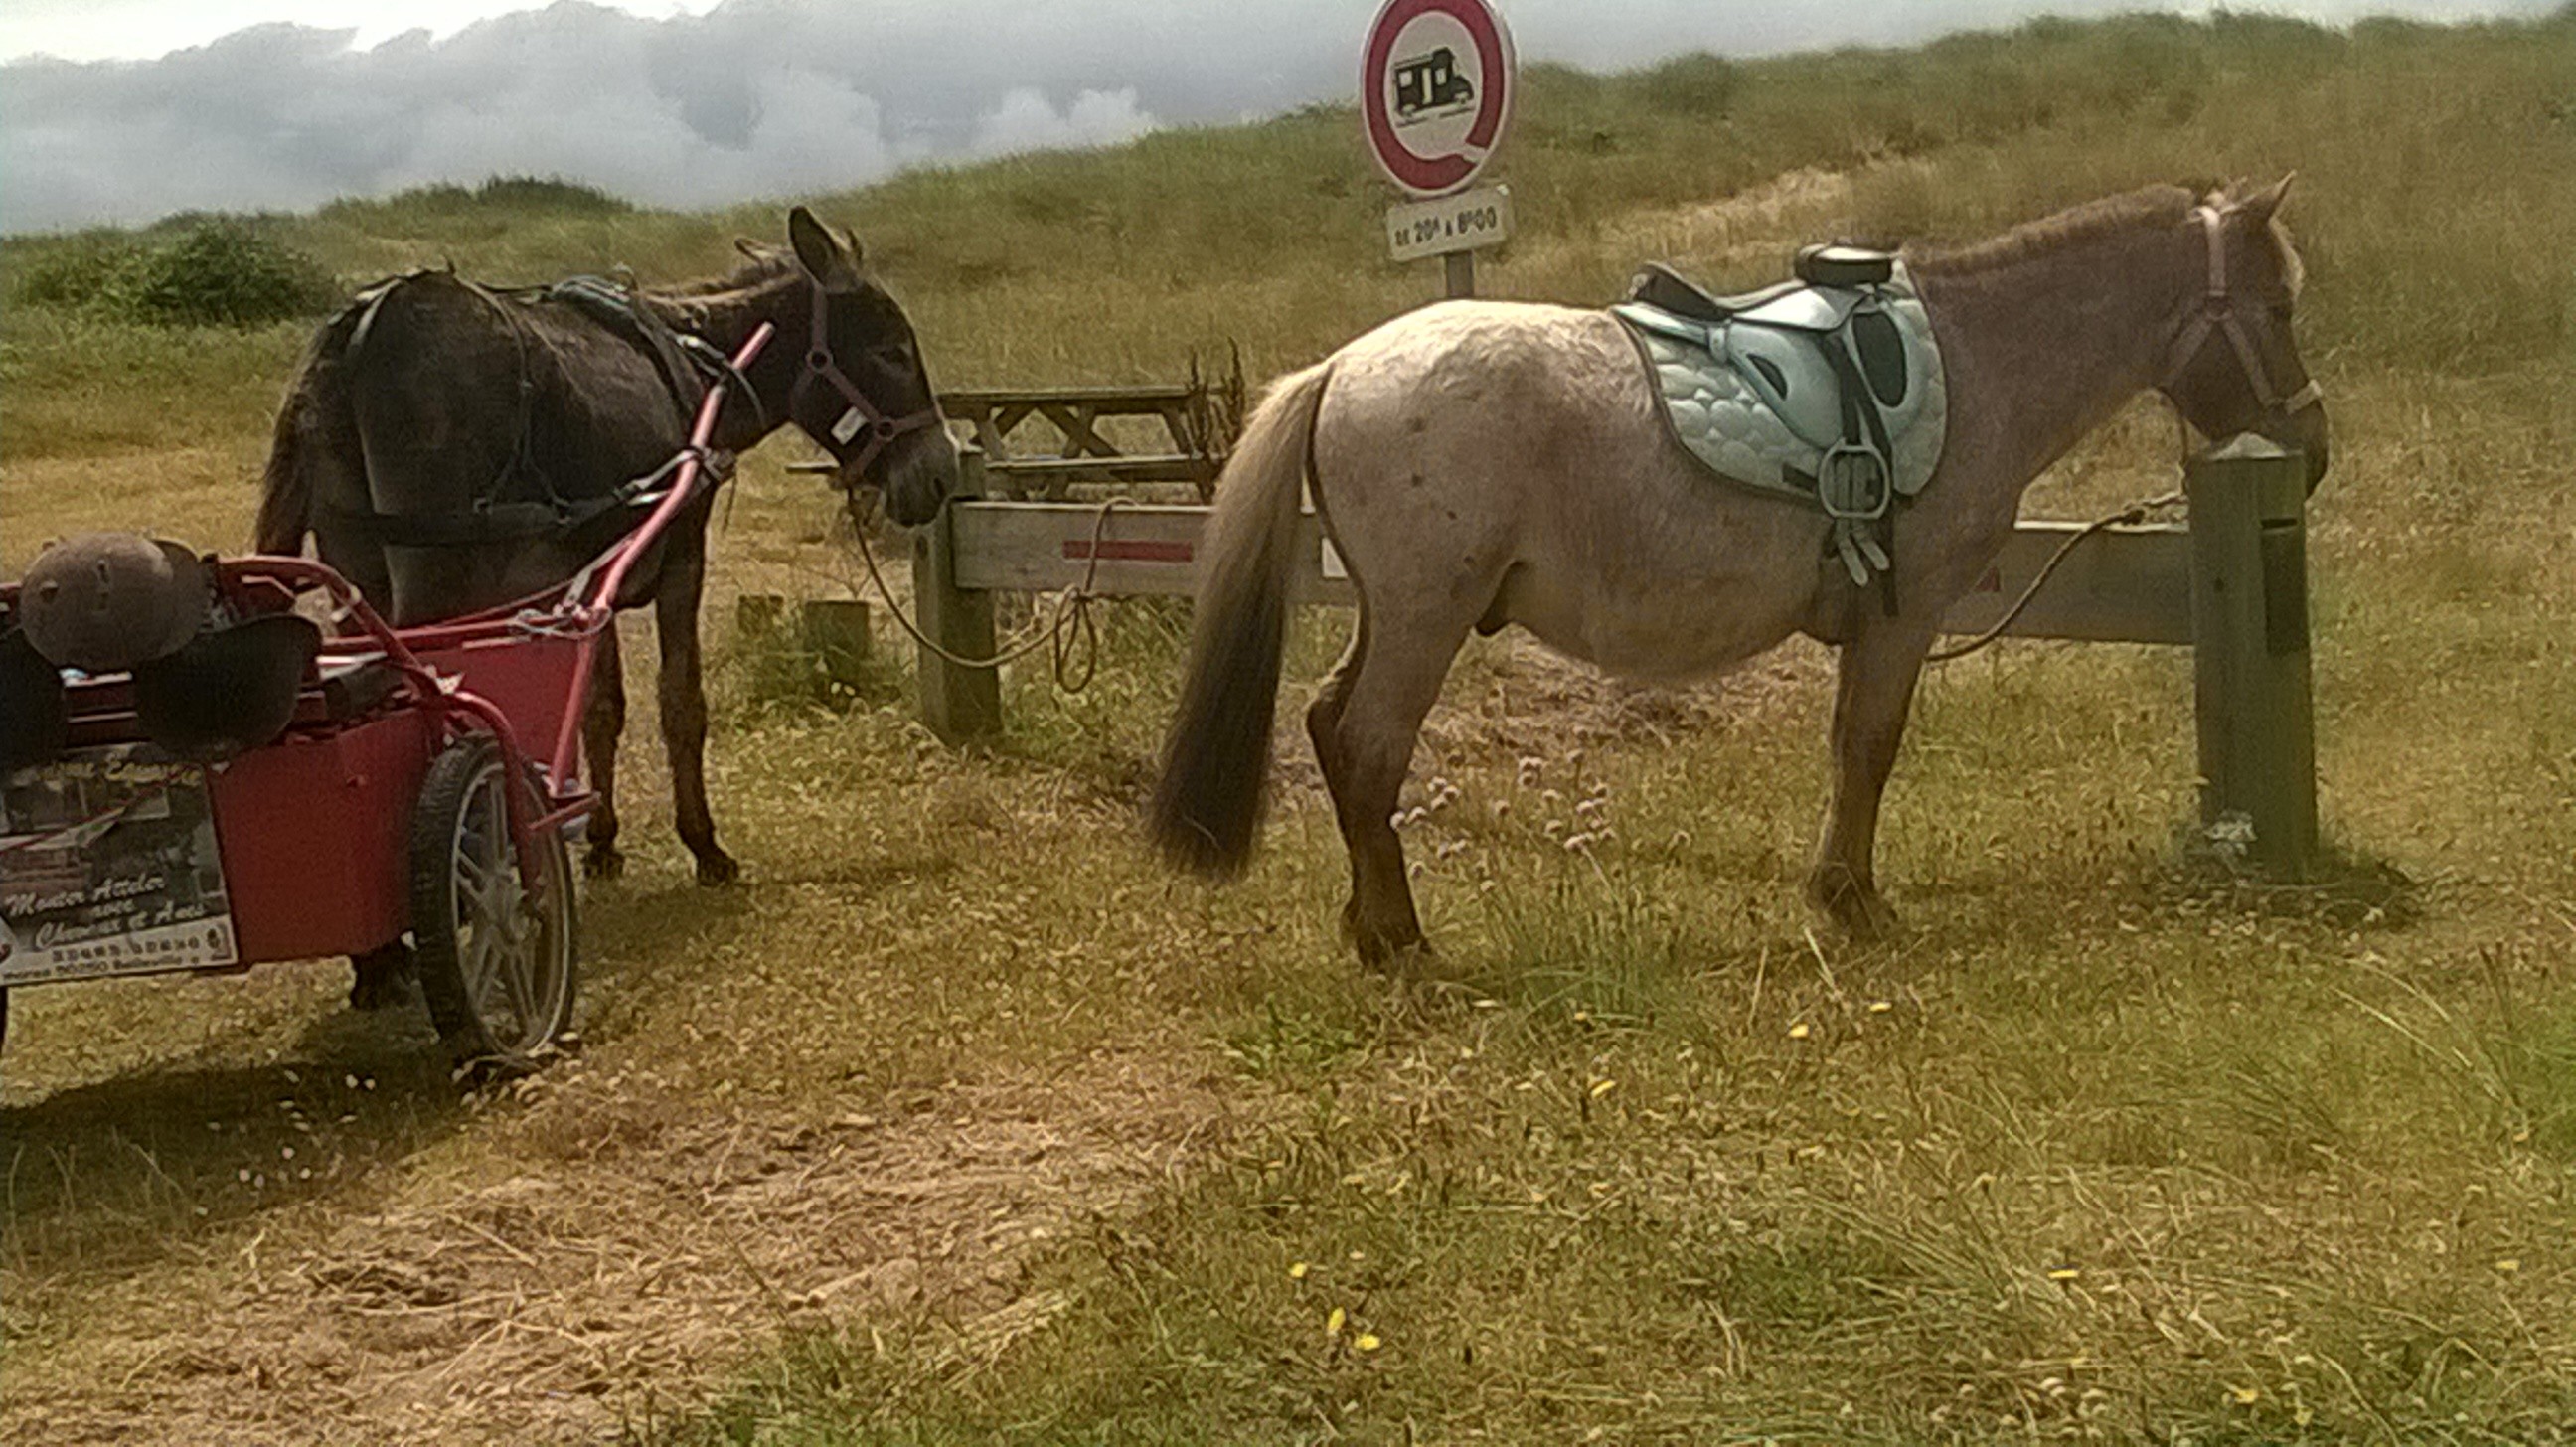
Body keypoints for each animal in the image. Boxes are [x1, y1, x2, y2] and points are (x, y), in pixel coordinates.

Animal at [1159, 182, 2329, 968]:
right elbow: (1870, 747)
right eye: (2277, 308)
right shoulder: (1904, 617)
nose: (2310, 448)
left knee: (1328, 725)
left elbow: (1848, 745)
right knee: (1366, 747)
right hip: (1422, 620)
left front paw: (1840, 892)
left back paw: (1370, 927)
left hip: (1390, 615)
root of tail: (1341, 367)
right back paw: (1401, 940)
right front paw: (1855, 901)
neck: (1976, 358)